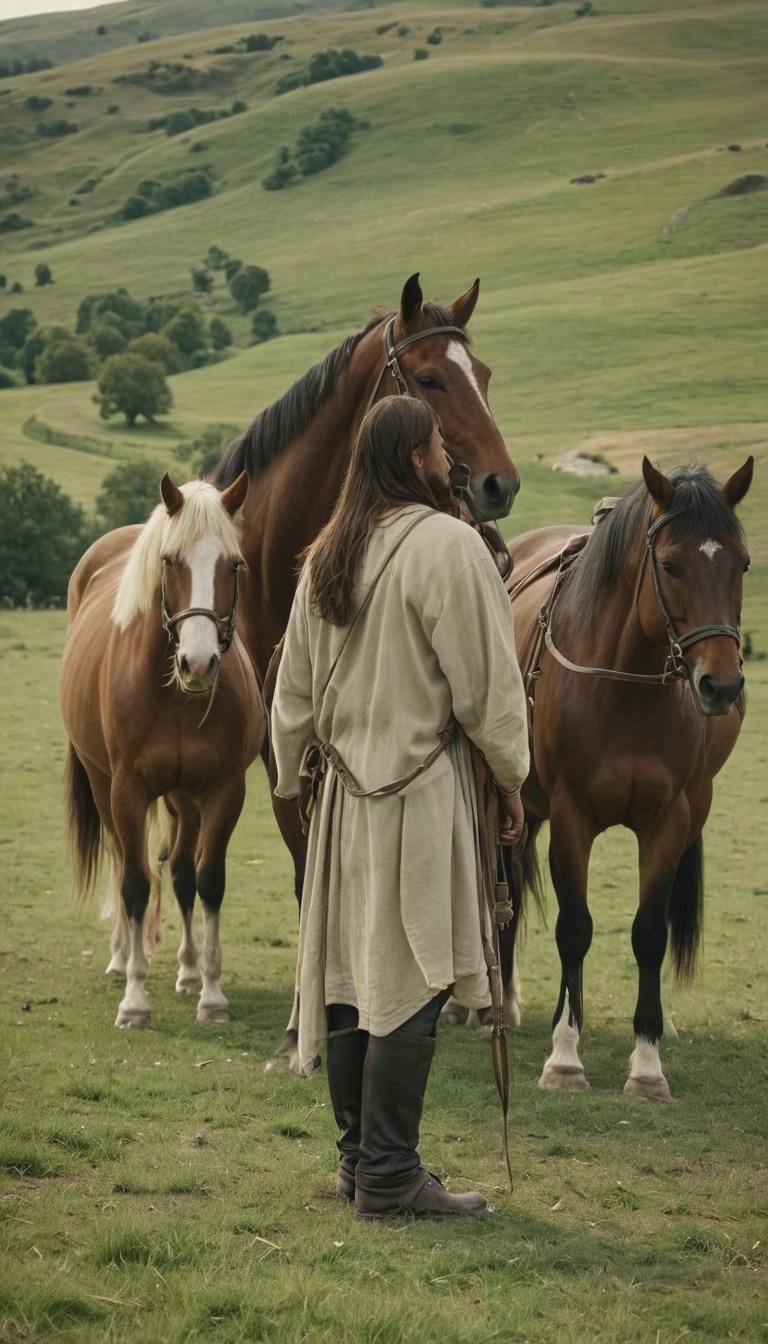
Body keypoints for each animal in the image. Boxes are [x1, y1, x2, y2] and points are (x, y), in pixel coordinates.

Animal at [60, 472, 264, 1028]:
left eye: (234, 564)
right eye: (170, 561)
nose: (199, 663)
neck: (171, 695)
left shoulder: (221, 791)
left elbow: (206, 880)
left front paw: (210, 993)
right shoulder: (128, 792)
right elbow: (134, 883)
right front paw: (134, 1000)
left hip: (183, 800)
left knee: (179, 873)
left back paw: (188, 970)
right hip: (103, 784)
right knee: (120, 862)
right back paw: (121, 957)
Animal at [502, 454, 753, 1100]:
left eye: (742, 563)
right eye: (669, 564)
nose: (720, 684)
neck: (626, 688)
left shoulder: (670, 821)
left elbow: (648, 935)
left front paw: (647, 1064)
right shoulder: (571, 818)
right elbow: (574, 928)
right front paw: (564, 1058)